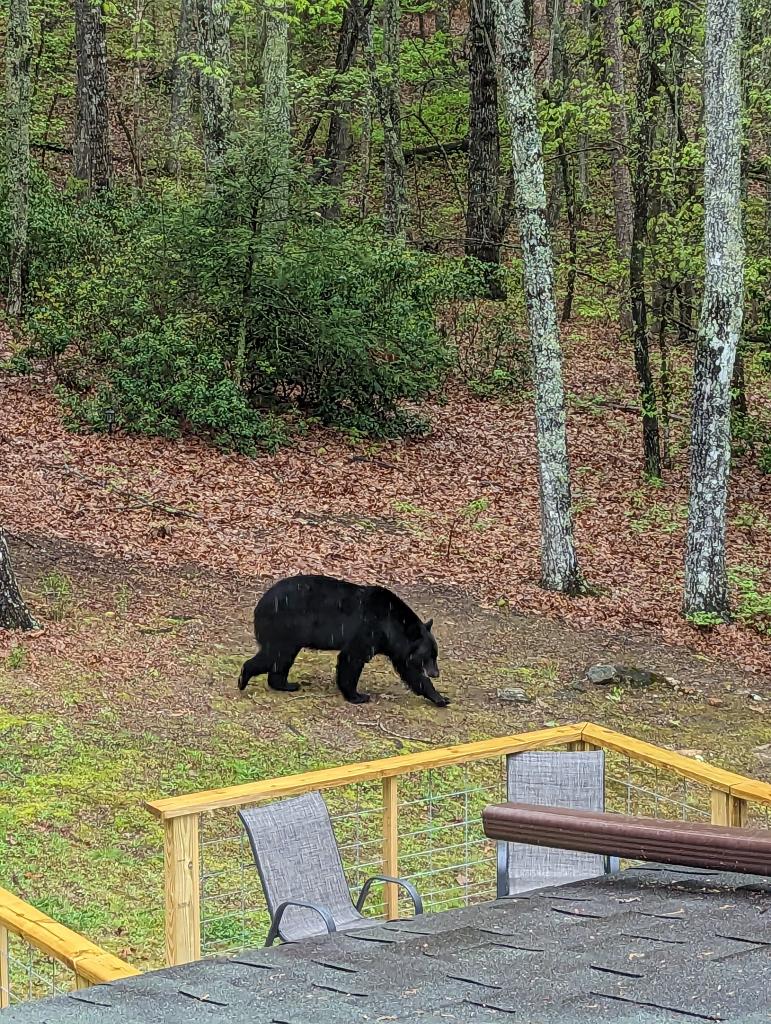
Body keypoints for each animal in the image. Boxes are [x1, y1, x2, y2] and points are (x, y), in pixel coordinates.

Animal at [238, 574, 450, 707]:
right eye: (428, 656)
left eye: (435, 654)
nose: (436, 673)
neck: (391, 625)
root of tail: (259, 605)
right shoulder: (368, 630)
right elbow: (351, 658)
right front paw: (358, 696)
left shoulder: (398, 648)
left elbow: (411, 672)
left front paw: (439, 697)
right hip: (285, 627)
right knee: (276, 654)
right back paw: (244, 678)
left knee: (281, 659)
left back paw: (286, 685)